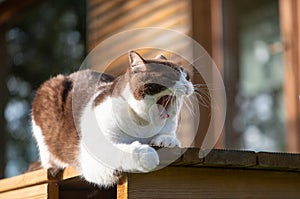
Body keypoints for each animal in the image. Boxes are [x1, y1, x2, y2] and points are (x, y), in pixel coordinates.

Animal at [31, 51, 195, 187]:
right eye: (171, 76)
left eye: (187, 77)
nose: (188, 85)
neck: (144, 125)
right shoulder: (91, 156)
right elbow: (118, 151)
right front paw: (146, 155)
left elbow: (168, 136)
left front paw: (167, 140)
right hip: (48, 91)